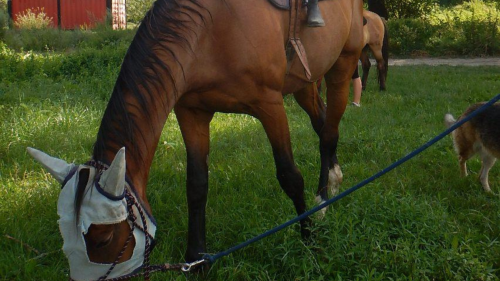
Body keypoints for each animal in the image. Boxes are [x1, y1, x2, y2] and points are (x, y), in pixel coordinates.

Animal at [28, 0, 364, 278]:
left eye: (104, 238)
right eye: (63, 236)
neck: (212, 28)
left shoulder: (270, 106)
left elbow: (290, 176)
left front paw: (309, 240)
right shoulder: (192, 112)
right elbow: (197, 184)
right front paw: (196, 257)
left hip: (342, 66)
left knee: (329, 131)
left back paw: (324, 198)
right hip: (304, 83)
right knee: (322, 124)